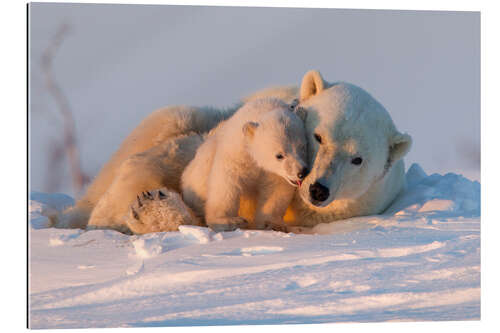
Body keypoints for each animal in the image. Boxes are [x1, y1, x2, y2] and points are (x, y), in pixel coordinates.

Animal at [57, 69, 410, 232]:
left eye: (357, 159)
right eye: (319, 137)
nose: (318, 189)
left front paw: (151, 209)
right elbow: (181, 159)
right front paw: (127, 208)